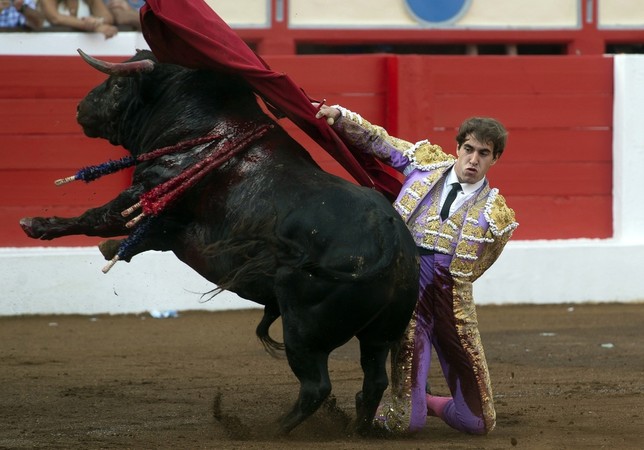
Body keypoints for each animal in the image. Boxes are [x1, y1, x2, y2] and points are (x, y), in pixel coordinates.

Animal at [18, 50, 418, 436]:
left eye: (117, 84)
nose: (79, 108)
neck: (205, 126)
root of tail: (390, 240)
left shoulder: (146, 194)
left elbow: (96, 217)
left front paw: (36, 225)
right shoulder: (168, 228)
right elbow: (137, 237)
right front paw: (112, 249)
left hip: (303, 328)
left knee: (316, 386)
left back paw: (266, 430)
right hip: (381, 333)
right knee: (374, 380)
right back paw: (358, 428)